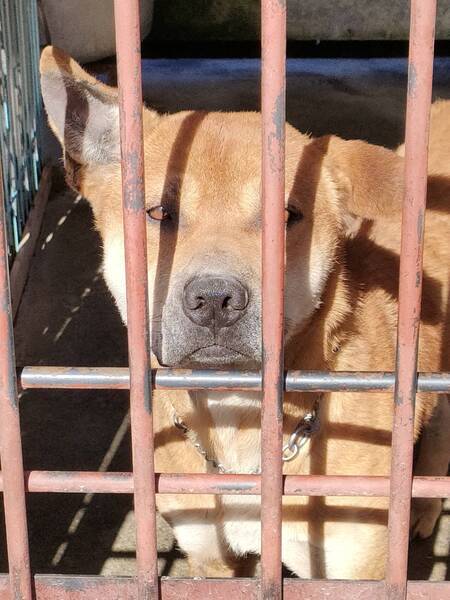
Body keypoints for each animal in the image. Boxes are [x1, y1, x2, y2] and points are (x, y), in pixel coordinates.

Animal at [40, 46, 450, 580]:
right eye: (159, 213)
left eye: (285, 216)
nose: (215, 300)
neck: (237, 419)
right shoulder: (209, 555)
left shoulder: (352, 568)